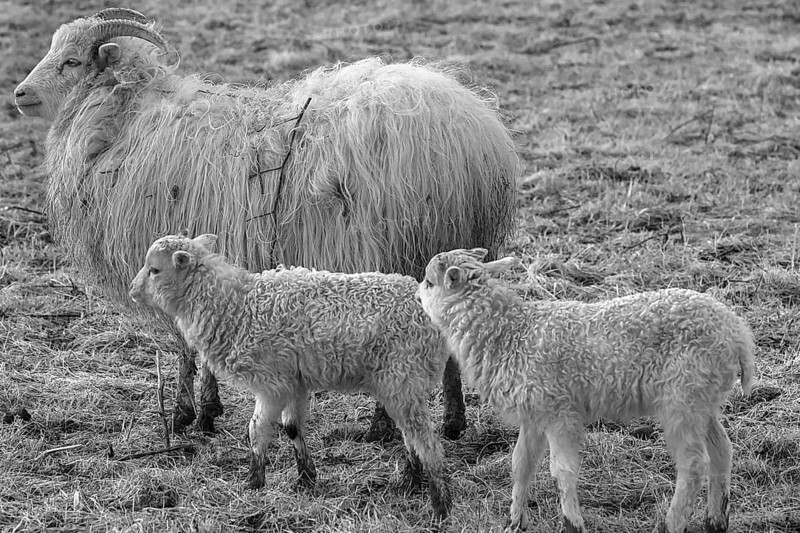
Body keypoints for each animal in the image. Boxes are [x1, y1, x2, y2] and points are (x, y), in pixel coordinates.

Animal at [13, 8, 518, 438]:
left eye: (72, 61)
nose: (18, 94)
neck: (125, 119)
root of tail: (478, 134)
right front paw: (206, 411)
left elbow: (187, 345)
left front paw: (187, 415)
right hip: (447, 243)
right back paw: (452, 422)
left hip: (403, 243)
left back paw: (382, 426)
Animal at [128, 232, 453, 518]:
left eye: (155, 270)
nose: (132, 291)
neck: (236, 306)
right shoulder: (294, 381)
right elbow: (292, 427)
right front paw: (306, 478)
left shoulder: (271, 383)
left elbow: (257, 429)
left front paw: (254, 481)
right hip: (403, 383)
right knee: (411, 435)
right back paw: (409, 483)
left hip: (403, 376)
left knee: (426, 440)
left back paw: (440, 504)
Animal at [417, 248, 756, 533]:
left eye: (428, 282)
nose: (415, 291)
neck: (511, 333)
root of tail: (738, 332)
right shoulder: (533, 414)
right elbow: (521, 465)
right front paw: (514, 521)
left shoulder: (560, 413)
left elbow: (562, 471)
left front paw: (572, 524)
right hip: (703, 399)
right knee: (722, 450)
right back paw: (716, 520)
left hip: (682, 398)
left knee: (693, 463)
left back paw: (673, 524)